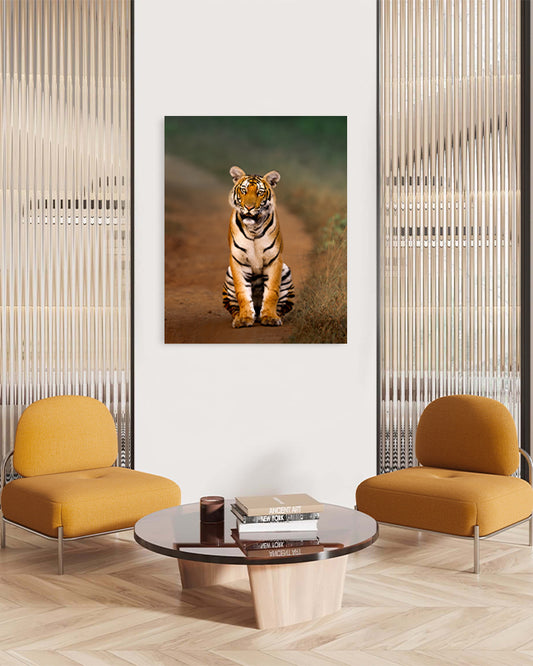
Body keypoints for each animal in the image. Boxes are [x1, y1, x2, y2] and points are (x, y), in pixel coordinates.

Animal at [222, 165, 295, 328]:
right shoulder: (238, 261)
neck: (253, 228)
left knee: (281, 307)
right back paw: (241, 316)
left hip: (286, 271)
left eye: (260, 193)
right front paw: (244, 318)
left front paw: (269, 317)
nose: (248, 207)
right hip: (229, 274)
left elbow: (272, 292)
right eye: (243, 191)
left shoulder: (274, 260)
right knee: (233, 308)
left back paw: (270, 316)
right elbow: (242, 292)